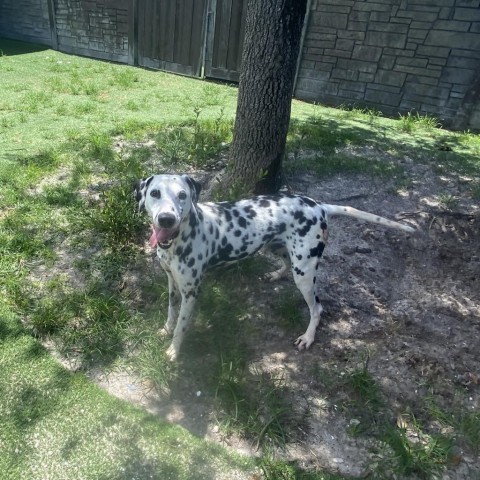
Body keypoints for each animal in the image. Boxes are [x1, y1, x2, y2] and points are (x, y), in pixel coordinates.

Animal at [134, 173, 412, 360]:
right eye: (155, 193)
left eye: (182, 195)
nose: (166, 219)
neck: (179, 240)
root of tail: (319, 206)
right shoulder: (172, 282)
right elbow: (171, 311)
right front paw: (166, 329)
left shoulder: (191, 292)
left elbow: (181, 326)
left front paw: (173, 351)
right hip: (278, 249)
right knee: (286, 264)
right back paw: (276, 275)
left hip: (305, 272)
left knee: (317, 308)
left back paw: (308, 337)